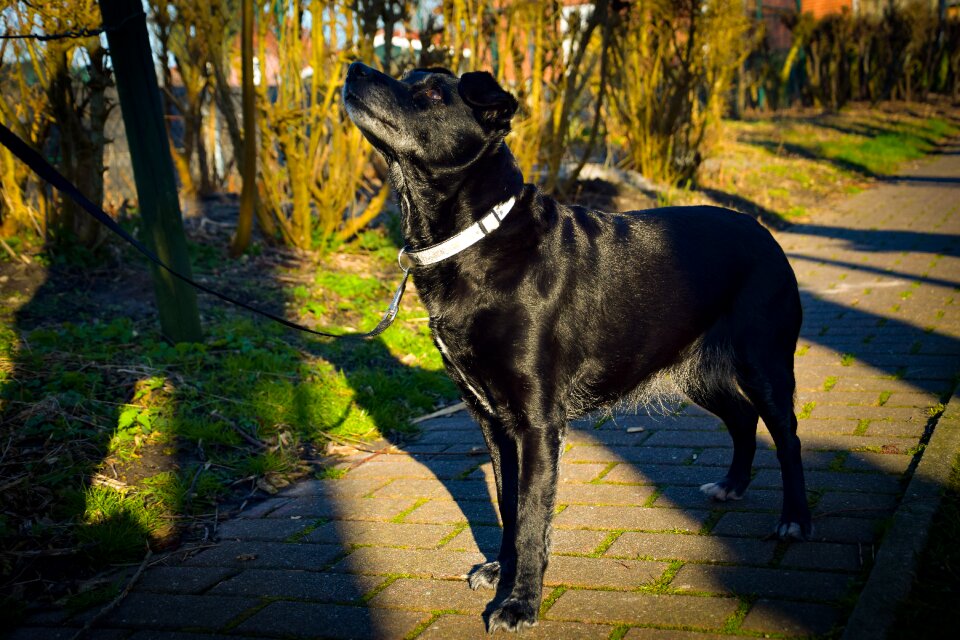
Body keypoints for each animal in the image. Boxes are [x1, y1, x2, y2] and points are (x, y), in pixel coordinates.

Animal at [342, 62, 808, 632]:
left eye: (429, 93)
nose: (354, 68)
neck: (477, 239)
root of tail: (762, 230)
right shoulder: (493, 422)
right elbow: (508, 503)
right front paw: (502, 571)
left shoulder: (538, 423)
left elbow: (531, 514)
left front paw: (520, 603)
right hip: (698, 371)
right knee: (741, 418)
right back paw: (732, 485)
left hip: (764, 363)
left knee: (786, 435)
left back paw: (794, 521)